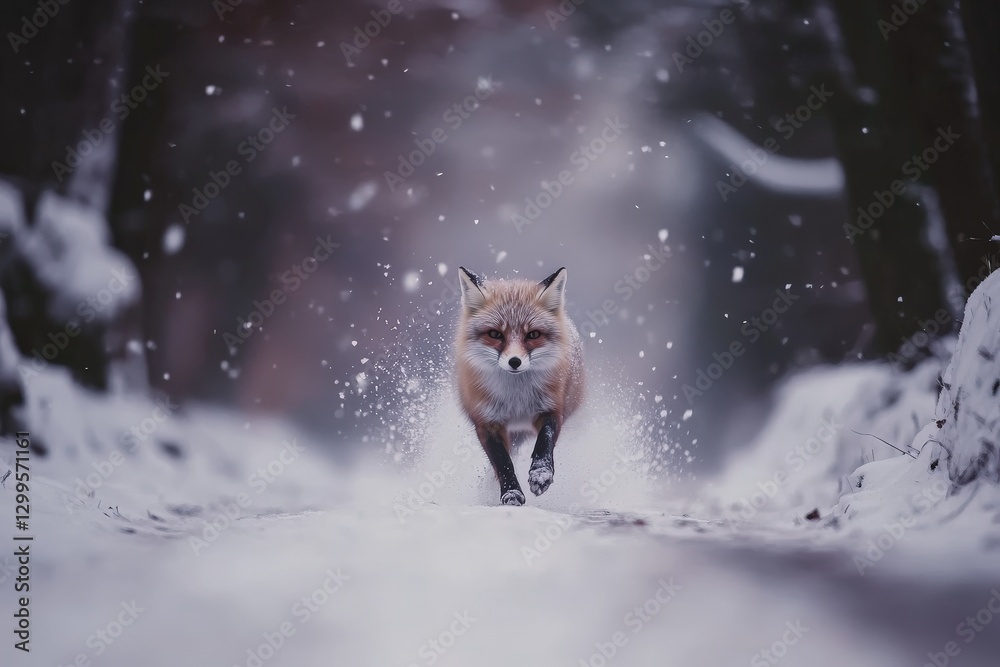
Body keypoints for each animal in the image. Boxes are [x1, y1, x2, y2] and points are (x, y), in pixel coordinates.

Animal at [455, 266, 585, 506]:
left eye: (533, 334)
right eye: (495, 334)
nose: (514, 362)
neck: (516, 400)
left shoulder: (552, 410)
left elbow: (545, 442)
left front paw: (541, 475)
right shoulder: (486, 421)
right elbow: (502, 462)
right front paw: (511, 493)